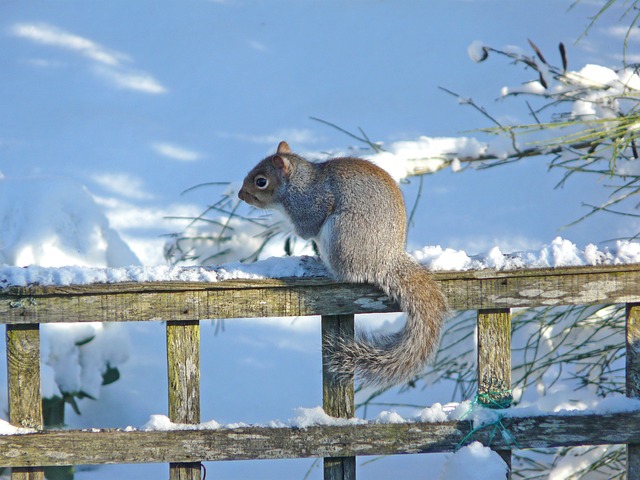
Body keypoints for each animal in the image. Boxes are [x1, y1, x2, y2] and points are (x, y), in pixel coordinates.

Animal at [238, 141, 447, 388]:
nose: (240, 195)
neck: (298, 183)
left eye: (261, 181)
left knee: (342, 274)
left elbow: (306, 228)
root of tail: (385, 261)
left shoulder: (311, 205)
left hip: (340, 236)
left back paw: (318, 266)